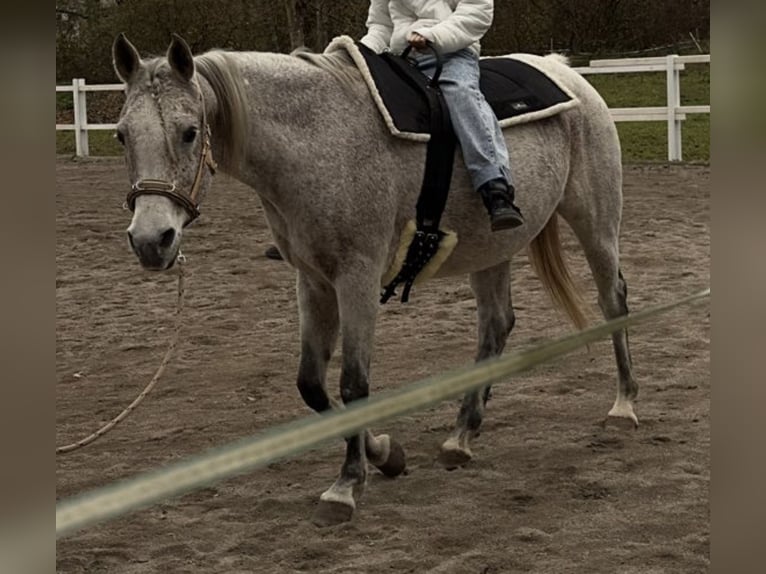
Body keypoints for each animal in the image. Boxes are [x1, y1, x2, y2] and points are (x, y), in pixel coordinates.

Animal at [114, 31, 640, 528]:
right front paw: (386, 454)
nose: (151, 240)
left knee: (612, 301)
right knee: (497, 326)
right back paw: (461, 435)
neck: (318, 140)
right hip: (493, 248)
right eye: (121, 136)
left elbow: (353, 385)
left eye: (189, 132)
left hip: (595, 221)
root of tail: (563, 71)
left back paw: (623, 407)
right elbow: (311, 385)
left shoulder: (358, 279)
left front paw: (346, 487)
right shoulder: (313, 282)